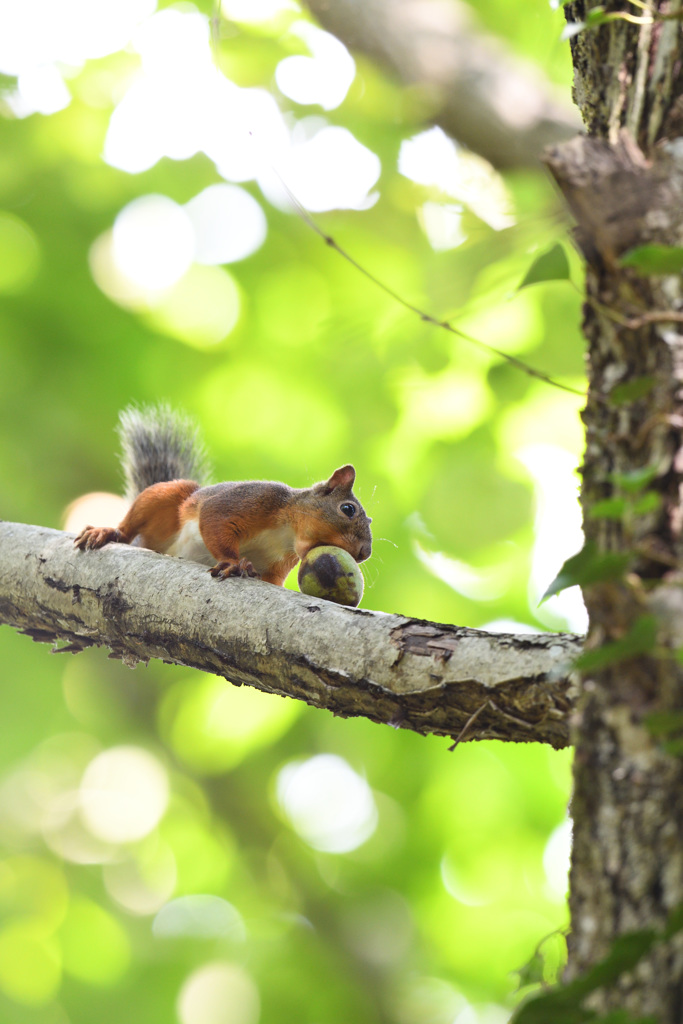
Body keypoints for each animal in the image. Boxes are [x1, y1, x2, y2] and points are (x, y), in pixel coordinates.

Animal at [73, 405, 374, 585]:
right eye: (348, 509)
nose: (364, 553)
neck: (285, 534)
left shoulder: (280, 564)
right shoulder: (254, 499)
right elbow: (215, 520)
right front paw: (232, 563)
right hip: (167, 499)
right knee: (130, 526)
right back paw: (107, 532)